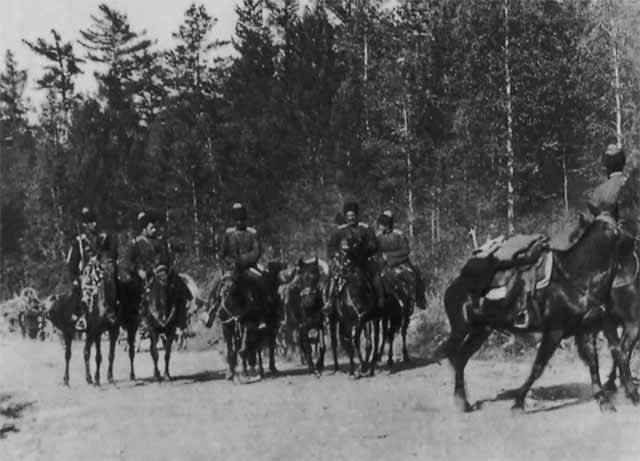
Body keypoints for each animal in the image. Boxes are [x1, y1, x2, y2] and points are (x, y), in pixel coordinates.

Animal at [438, 214, 632, 412]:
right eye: (615, 227)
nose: (633, 240)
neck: (574, 277)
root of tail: (457, 282)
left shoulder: (585, 330)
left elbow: (594, 363)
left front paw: (604, 401)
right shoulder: (554, 331)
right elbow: (538, 366)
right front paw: (518, 402)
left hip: (481, 331)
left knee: (461, 358)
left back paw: (463, 402)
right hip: (461, 328)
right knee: (452, 354)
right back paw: (461, 401)